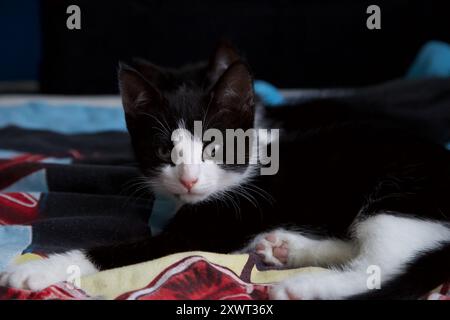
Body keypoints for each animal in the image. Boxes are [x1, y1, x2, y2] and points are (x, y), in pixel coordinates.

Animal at [0, 43, 450, 300]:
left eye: (214, 146)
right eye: (164, 149)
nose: (189, 179)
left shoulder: (214, 225)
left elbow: (121, 250)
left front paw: (35, 271)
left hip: (400, 192)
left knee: (382, 266)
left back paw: (303, 286)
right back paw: (286, 248)